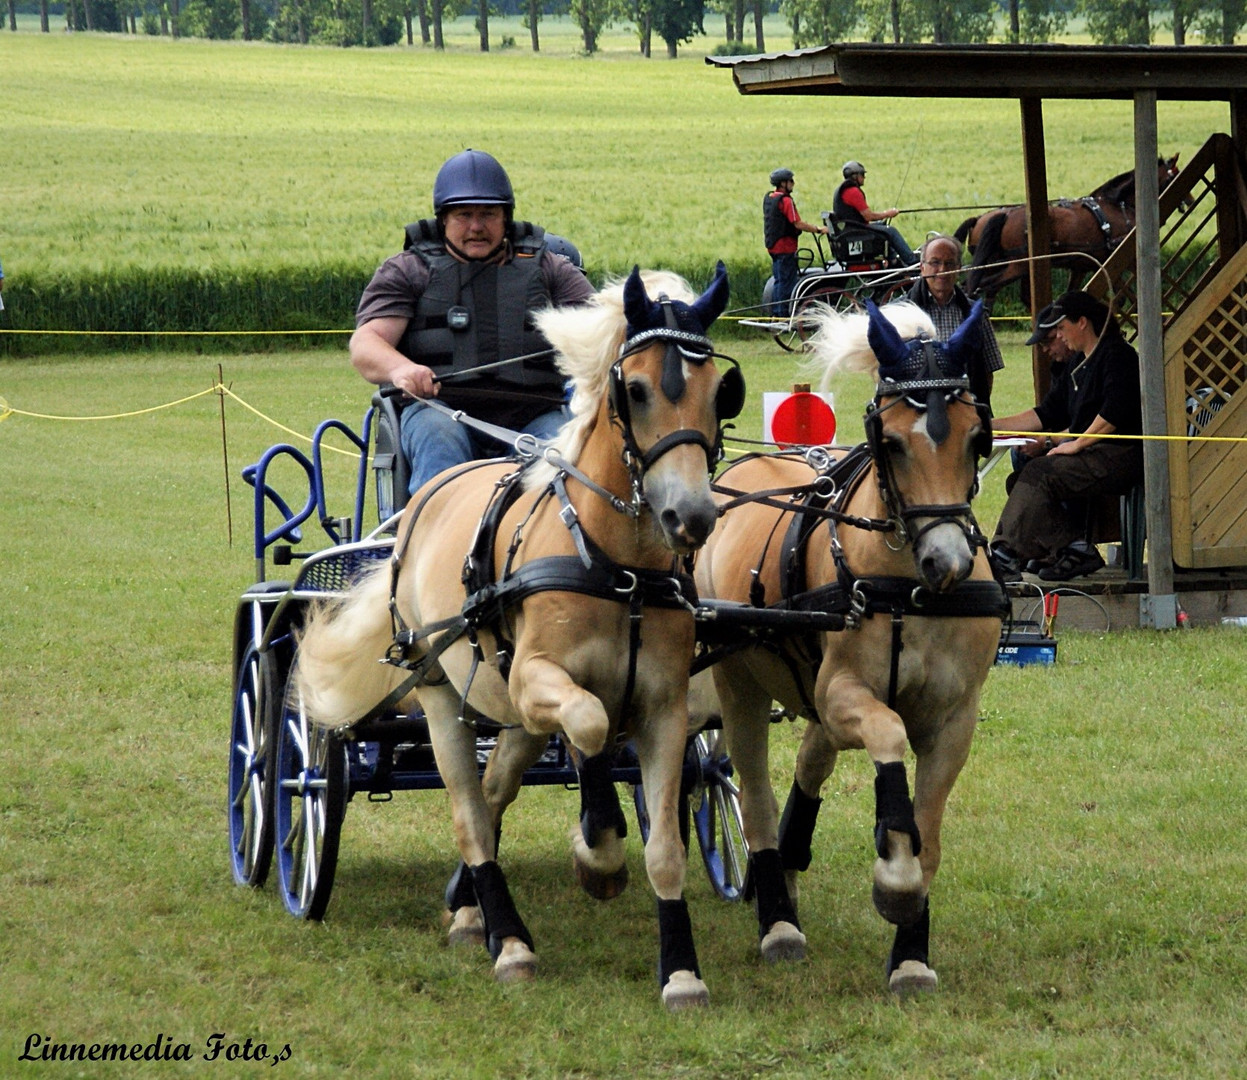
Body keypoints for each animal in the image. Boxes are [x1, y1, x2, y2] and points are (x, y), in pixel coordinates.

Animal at [291, 265, 738, 1007]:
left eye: (720, 391)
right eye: (637, 388)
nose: (691, 516)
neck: (615, 566)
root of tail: (424, 501)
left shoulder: (663, 709)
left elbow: (665, 848)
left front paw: (679, 970)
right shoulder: (542, 681)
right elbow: (590, 726)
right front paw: (597, 856)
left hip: (507, 708)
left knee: (494, 787)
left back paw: (469, 907)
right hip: (442, 694)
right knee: (470, 812)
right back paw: (511, 941)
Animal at [698, 294, 1007, 992]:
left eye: (978, 438)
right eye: (889, 442)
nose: (947, 561)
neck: (909, 592)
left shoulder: (955, 719)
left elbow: (929, 833)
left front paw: (911, 945)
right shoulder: (844, 691)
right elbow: (888, 735)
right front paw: (893, 876)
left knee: (812, 757)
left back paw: (791, 860)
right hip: (738, 684)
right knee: (753, 793)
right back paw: (778, 916)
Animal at [952, 151, 1177, 305]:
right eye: (1172, 176)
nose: (1184, 201)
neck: (1115, 206)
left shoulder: (1082, 266)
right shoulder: (1118, 258)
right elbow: (1126, 294)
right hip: (1018, 266)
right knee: (986, 287)